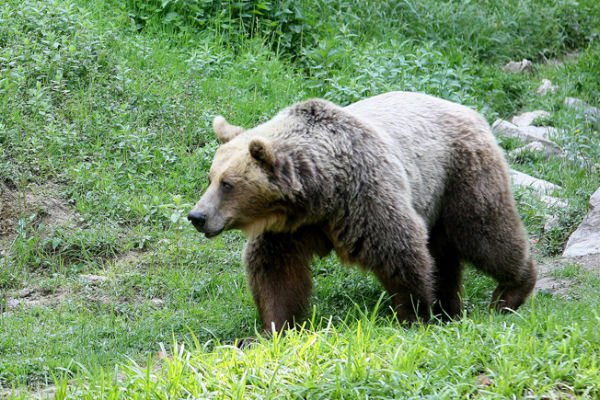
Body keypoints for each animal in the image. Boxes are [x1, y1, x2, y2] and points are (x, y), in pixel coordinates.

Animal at [189, 92, 540, 332]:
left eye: (228, 183)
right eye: (210, 177)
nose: (197, 216)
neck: (320, 193)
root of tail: (470, 110)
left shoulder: (364, 196)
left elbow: (400, 251)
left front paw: (413, 315)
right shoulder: (288, 229)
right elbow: (276, 272)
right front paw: (275, 327)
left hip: (460, 176)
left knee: (485, 233)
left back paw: (511, 292)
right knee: (445, 254)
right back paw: (448, 307)